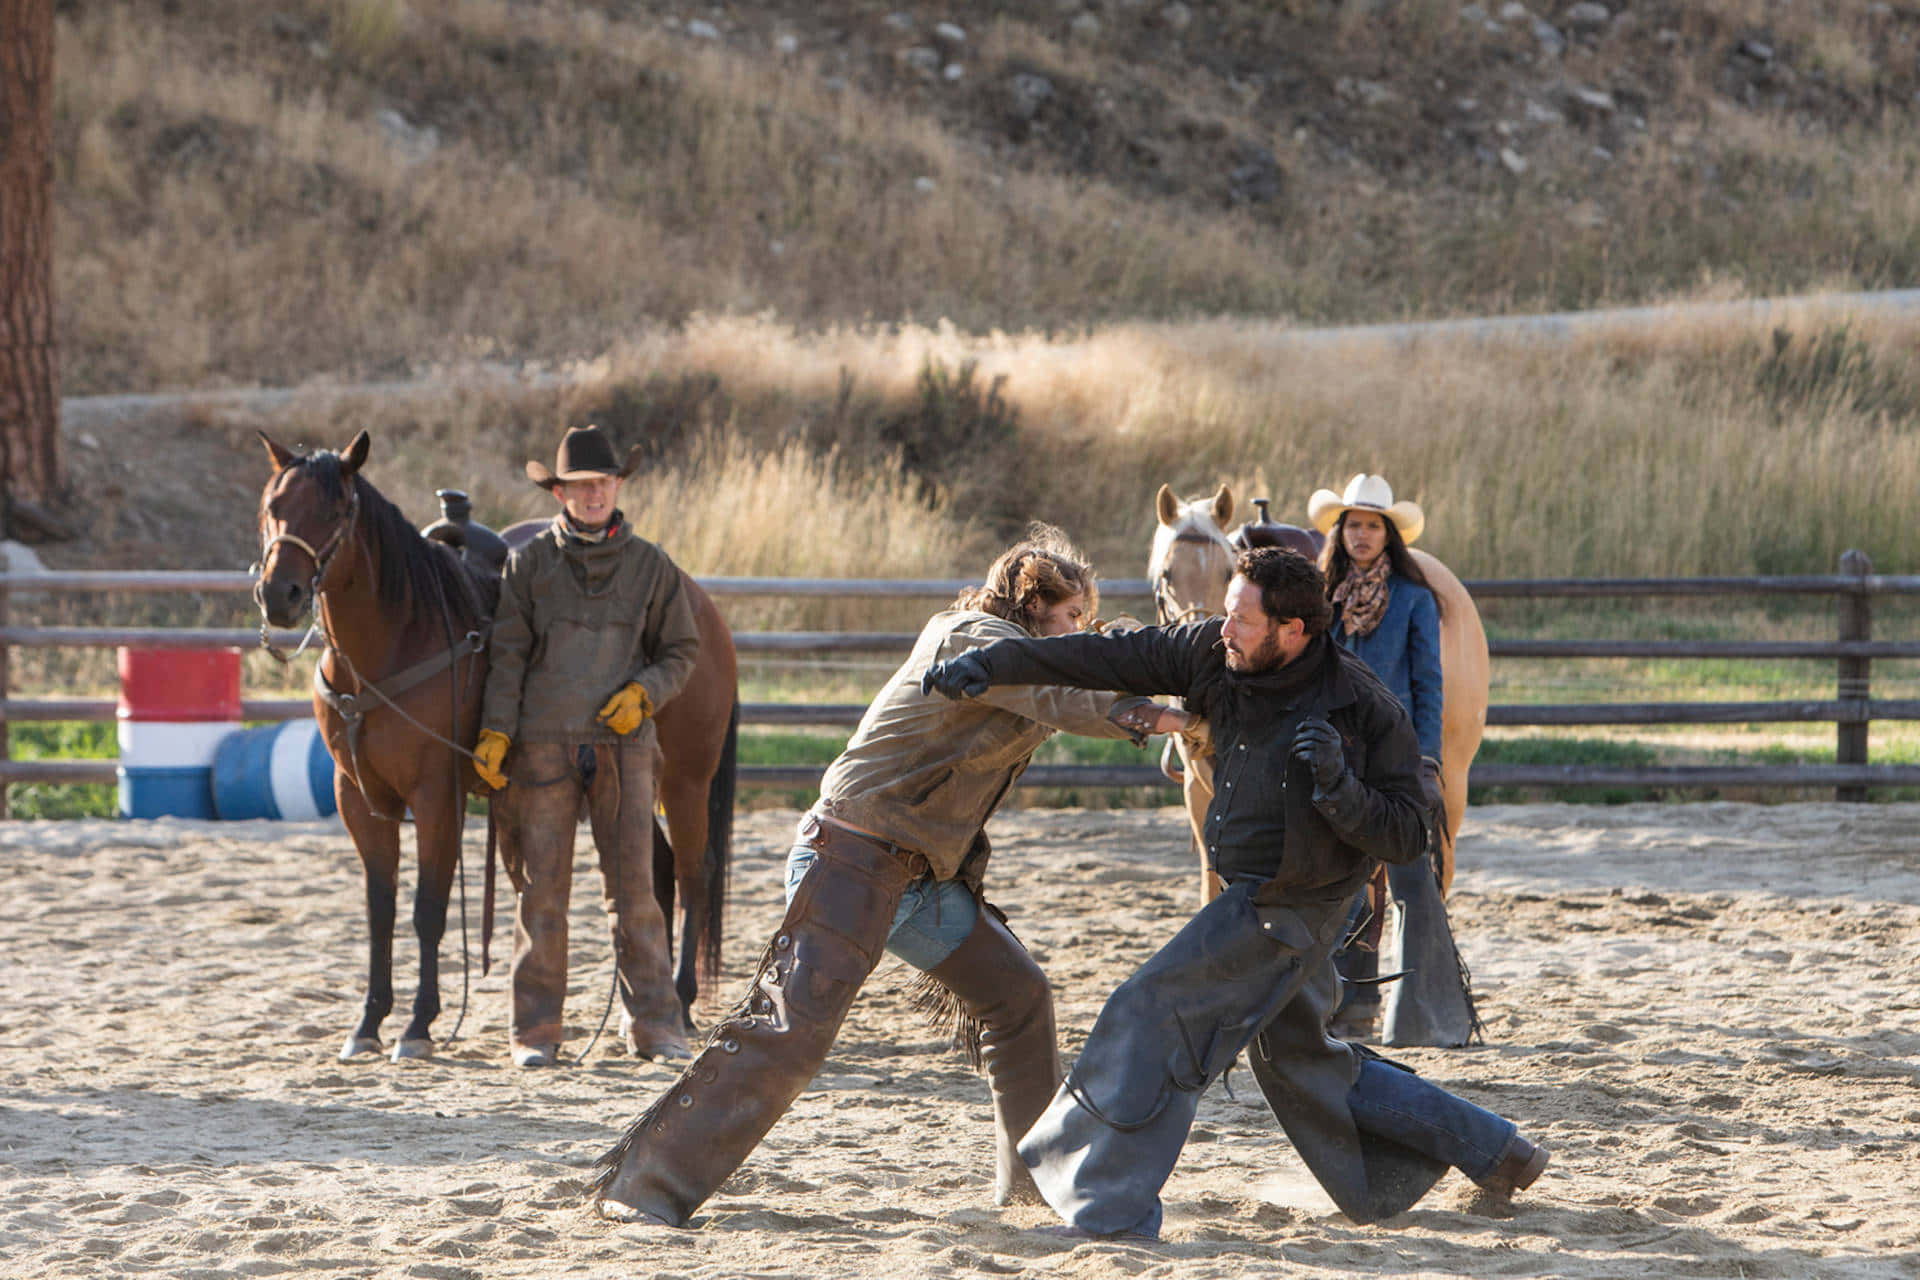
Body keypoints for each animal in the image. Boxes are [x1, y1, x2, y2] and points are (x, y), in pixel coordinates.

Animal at [255, 433, 733, 1059]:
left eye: (336, 511)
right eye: (272, 506)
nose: (279, 595)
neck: (392, 644)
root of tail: (703, 607)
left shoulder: (437, 797)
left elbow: (427, 911)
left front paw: (418, 1025)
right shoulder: (356, 797)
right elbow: (380, 912)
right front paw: (368, 1023)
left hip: (685, 782)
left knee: (695, 875)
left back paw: (681, 998)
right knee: (657, 870)